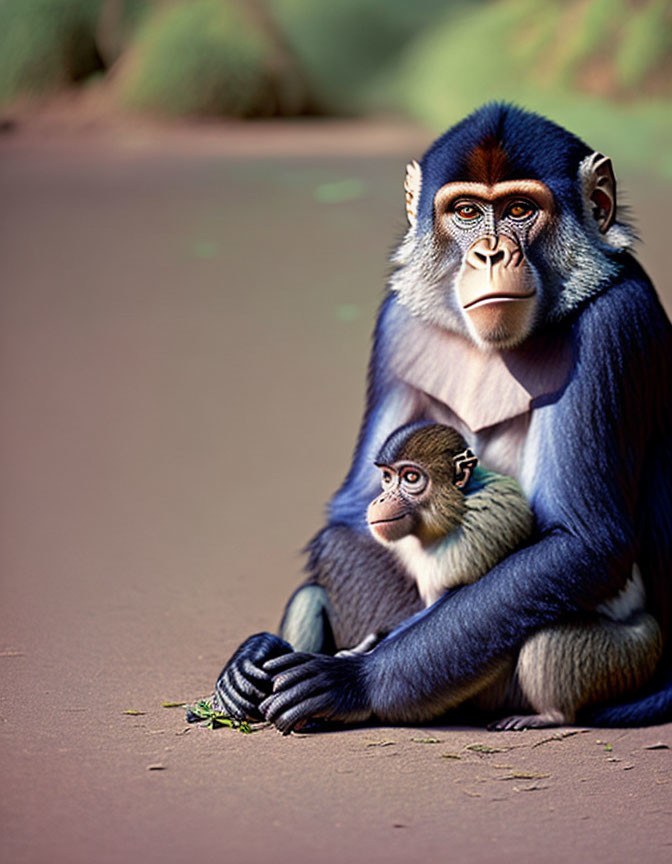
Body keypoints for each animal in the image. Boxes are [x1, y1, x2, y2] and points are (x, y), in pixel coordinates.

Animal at [354, 424, 660, 728]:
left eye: (411, 477)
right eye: (387, 477)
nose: (381, 498)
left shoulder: (485, 530)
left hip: (628, 655)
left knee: (549, 634)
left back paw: (552, 714)